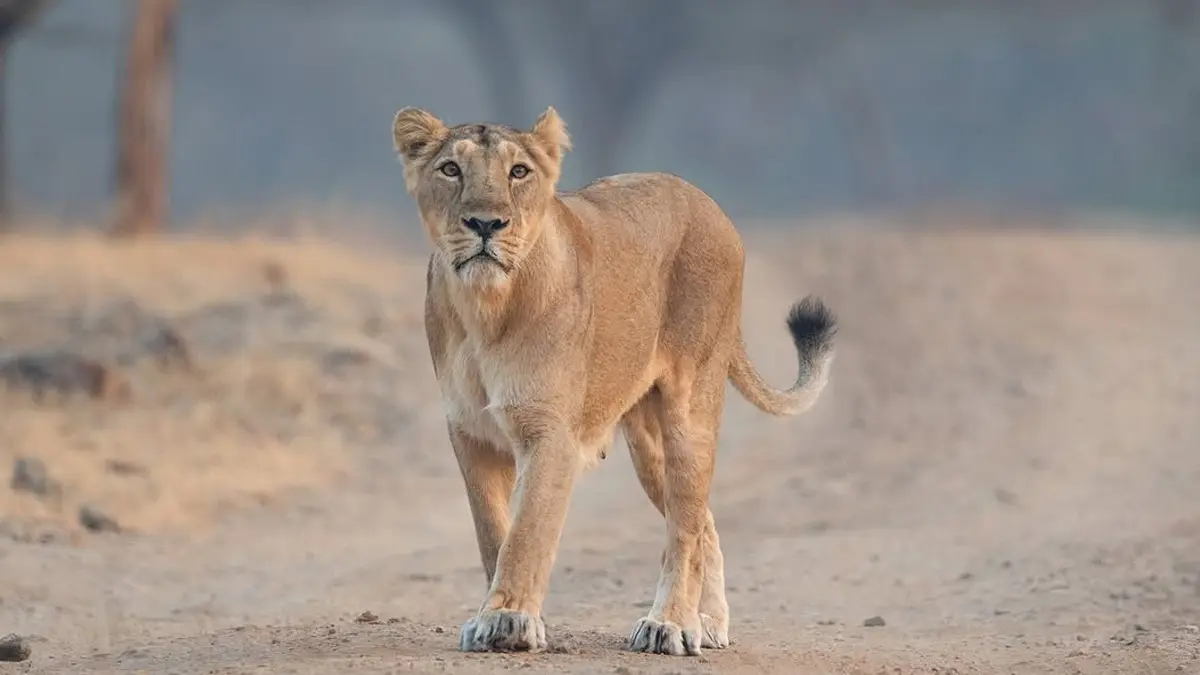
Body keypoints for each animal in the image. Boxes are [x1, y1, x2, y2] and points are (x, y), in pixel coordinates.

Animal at [391, 105, 836, 657]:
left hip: (691, 406)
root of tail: (706, 201)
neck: (485, 310)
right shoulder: (470, 432)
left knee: (685, 524)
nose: (485, 223)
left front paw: (509, 620)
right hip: (648, 444)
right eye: (451, 169)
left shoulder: (550, 432)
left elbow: (527, 532)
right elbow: (493, 531)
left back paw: (671, 625)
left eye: (519, 172)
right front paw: (495, 617)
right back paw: (707, 623)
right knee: (702, 522)